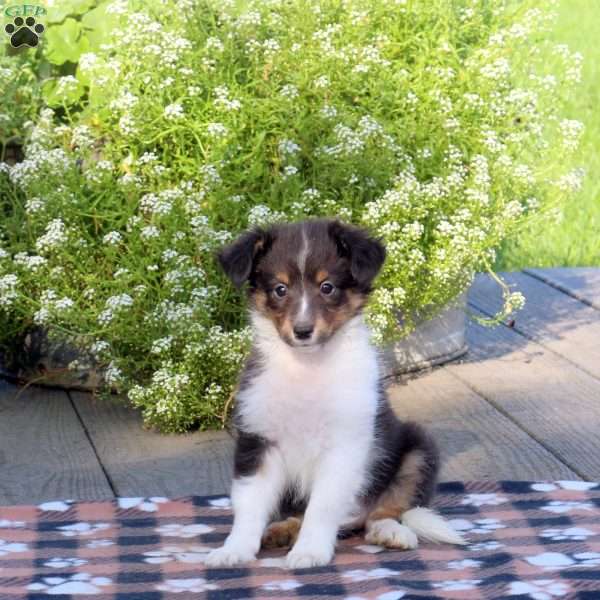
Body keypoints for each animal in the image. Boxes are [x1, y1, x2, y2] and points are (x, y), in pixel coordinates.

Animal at [206, 219, 464, 568]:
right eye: (280, 289)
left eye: (327, 287)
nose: (302, 331)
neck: (307, 366)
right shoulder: (258, 440)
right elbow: (249, 504)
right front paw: (234, 550)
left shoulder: (344, 446)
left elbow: (323, 506)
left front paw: (310, 551)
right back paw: (281, 531)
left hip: (418, 450)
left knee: (382, 510)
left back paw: (389, 532)